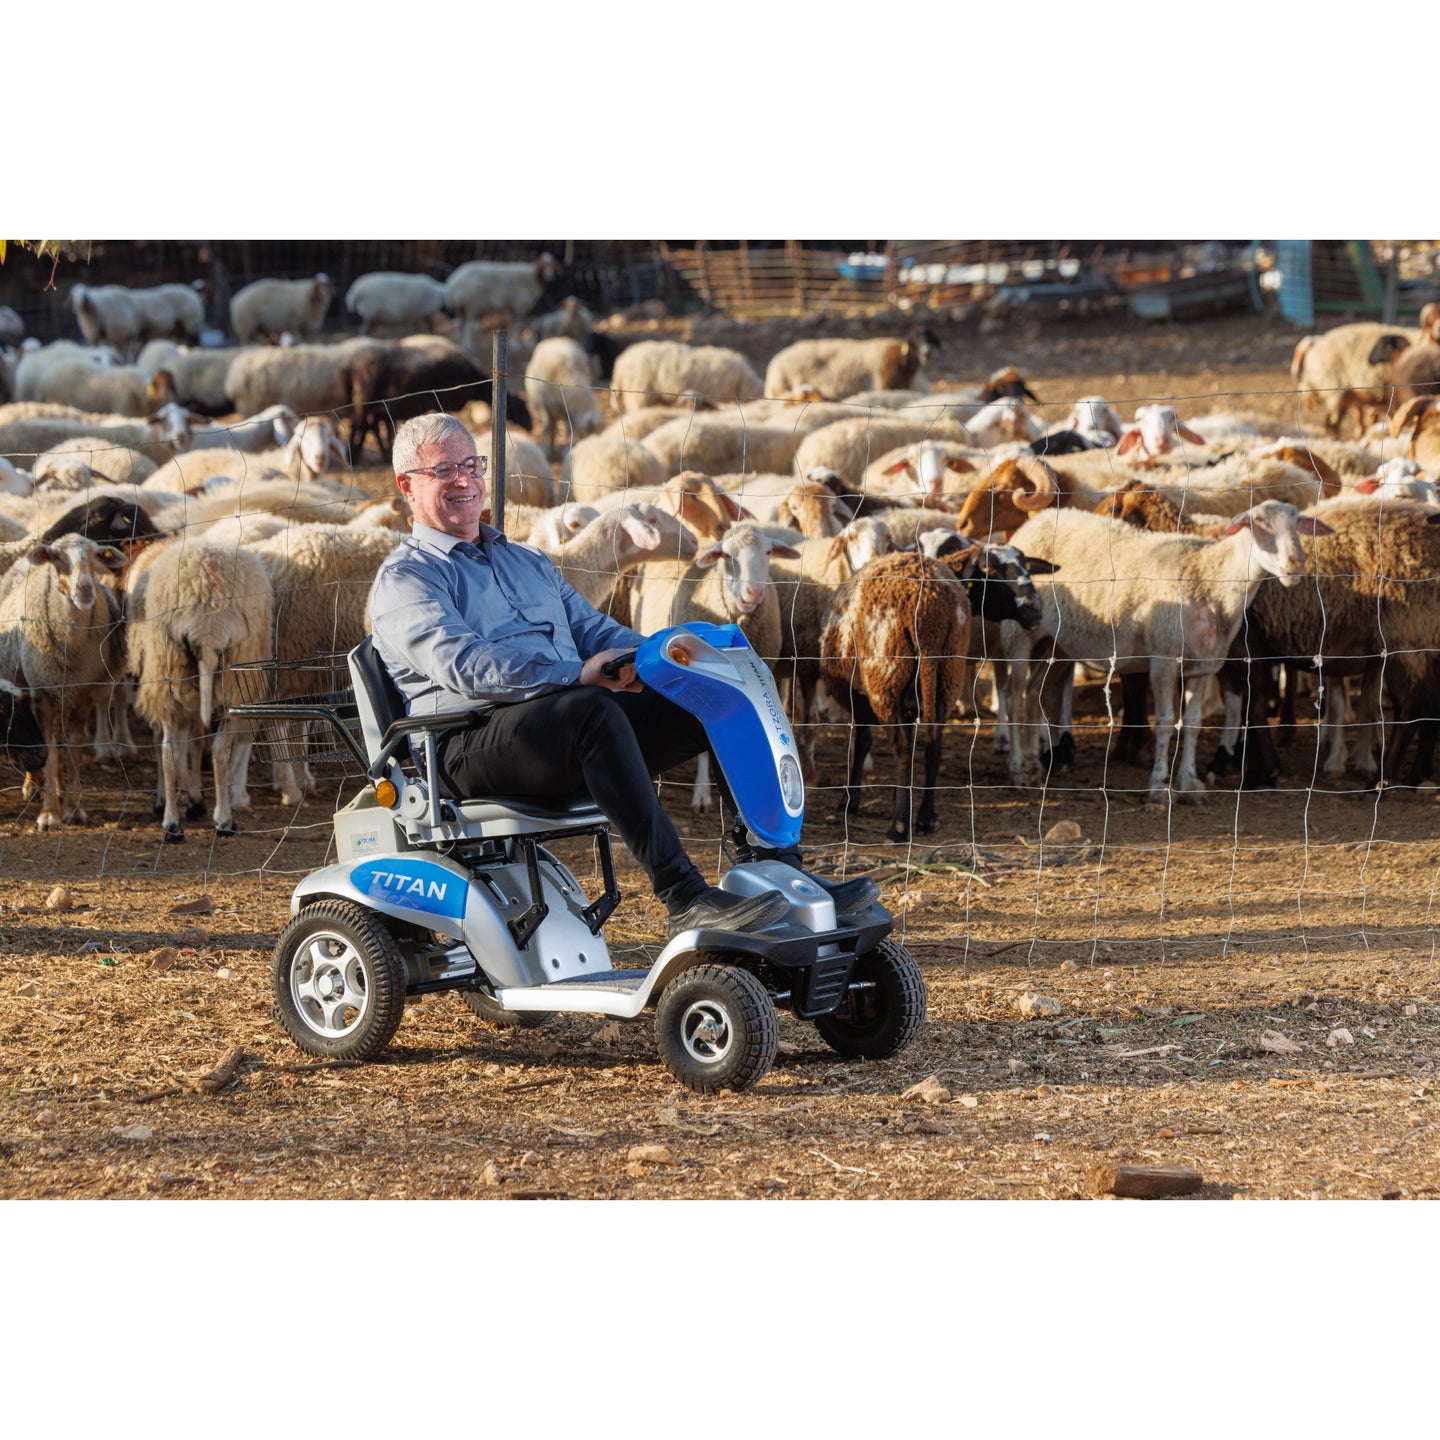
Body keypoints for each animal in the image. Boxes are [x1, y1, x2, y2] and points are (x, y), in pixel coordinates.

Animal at [0, 534, 128, 829]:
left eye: (96, 556)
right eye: (57, 557)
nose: (85, 589)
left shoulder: (82, 695)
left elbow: (72, 751)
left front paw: (72, 809)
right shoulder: (42, 693)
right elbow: (50, 750)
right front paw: (49, 814)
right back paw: (34, 786)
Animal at [124, 537, 275, 838]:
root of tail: (208, 626)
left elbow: (184, 745)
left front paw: (186, 800)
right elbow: (196, 743)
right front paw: (192, 801)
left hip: (169, 668)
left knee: (171, 750)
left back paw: (173, 824)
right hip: (231, 678)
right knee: (215, 748)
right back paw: (222, 821)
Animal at [818, 549, 971, 840]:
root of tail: (930, 615)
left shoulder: (860, 700)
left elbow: (862, 743)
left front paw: (849, 803)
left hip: (886, 675)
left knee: (902, 750)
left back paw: (899, 826)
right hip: (948, 674)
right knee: (933, 745)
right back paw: (925, 818)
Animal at [1003, 501, 1330, 801]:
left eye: (1298, 522)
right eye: (1259, 522)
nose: (1296, 565)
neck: (1211, 578)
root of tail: (1037, 520)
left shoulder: (1203, 665)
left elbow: (1193, 724)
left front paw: (1189, 783)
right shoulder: (1163, 660)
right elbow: (1164, 724)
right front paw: (1159, 786)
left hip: (1057, 644)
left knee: (1033, 694)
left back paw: (1034, 767)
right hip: (1018, 634)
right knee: (1013, 698)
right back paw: (1017, 769)